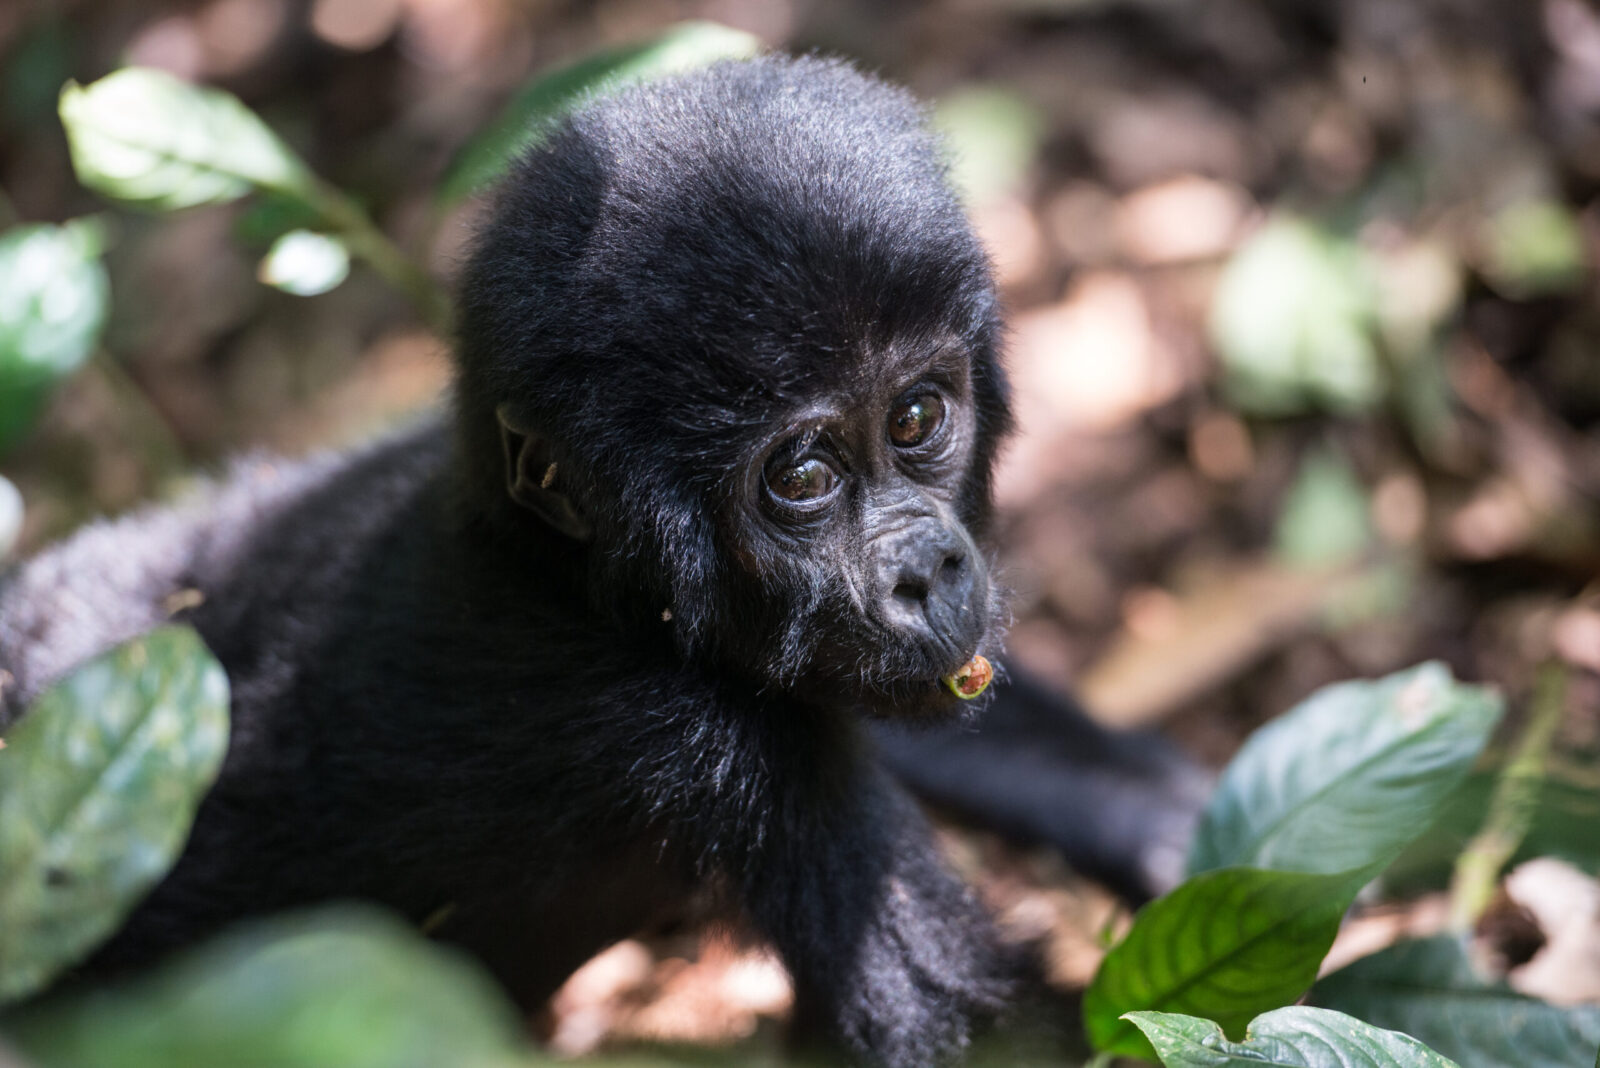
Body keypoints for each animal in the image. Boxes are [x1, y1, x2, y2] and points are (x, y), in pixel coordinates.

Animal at [0, 54, 1203, 1065]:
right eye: (803, 476)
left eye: (915, 416)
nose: (932, 575)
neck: (565, 578)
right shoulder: (675, 729)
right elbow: (980, 1034)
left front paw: (1164, 814)